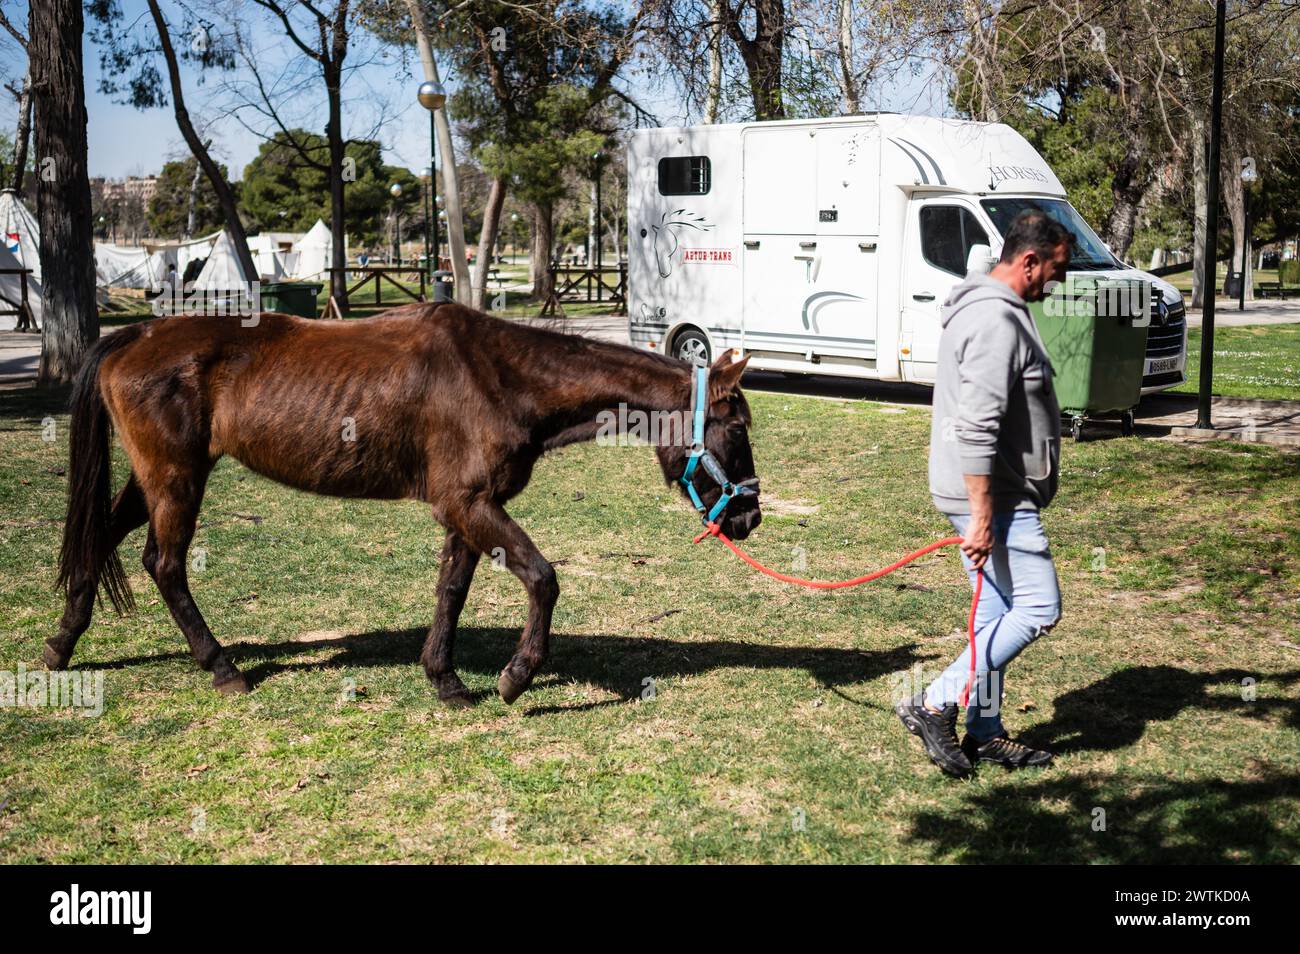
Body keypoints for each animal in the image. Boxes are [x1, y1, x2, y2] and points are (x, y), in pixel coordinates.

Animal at [50, 302, 759, 707]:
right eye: (738, 427)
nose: (748, 516)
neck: (501, 376)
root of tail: (134, 335)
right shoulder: (470, 504)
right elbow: (542, 579)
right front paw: (516, 676)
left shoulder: (469, 509)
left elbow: (452, 590)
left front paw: (445, 679)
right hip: (176, 478)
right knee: (165, 565)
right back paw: (221, 667)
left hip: (155, 478)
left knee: (101, 538)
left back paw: (61, 645)